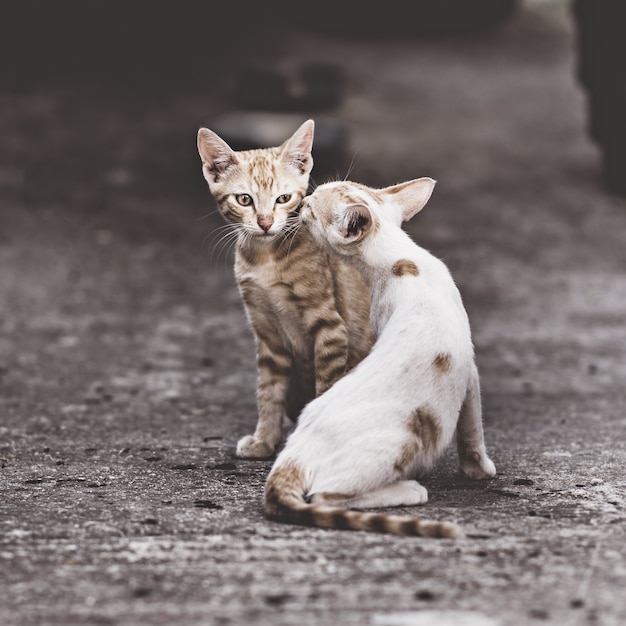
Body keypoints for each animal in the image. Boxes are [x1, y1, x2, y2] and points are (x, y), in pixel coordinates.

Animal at [196, 119, 370, 456]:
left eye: (283, 199)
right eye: (244, 199)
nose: (265, 223)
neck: (265, 259)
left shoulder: (329, 325)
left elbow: (324, 387)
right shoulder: (266, 332)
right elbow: (268, 390)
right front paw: (264, 438)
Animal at [260, 177, 494, 536]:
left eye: (312, 207)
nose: (302, 202)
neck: (402, 259)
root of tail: (291, 457)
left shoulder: (467, 366)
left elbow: (472, 426)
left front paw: (479, 469)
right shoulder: (469, 368)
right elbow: (472, 427)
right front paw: (478, 468)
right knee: (323, 496)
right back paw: (409, 489)